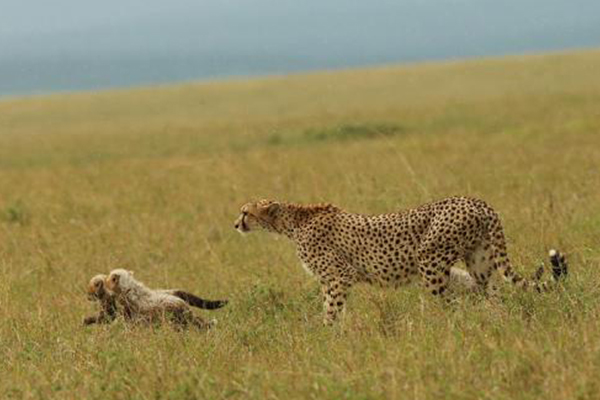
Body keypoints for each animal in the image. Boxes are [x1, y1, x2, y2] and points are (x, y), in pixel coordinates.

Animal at [234, 197, 568, 324]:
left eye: (245, 212)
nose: (235, 224)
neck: (292, 222)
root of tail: (476, 201)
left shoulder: (339, 277)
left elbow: (331, 309)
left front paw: (325, 335)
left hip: (429, 261)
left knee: (451, 305)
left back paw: (448, 329)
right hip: (479, 262)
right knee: (493, 294)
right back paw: (498, 321)